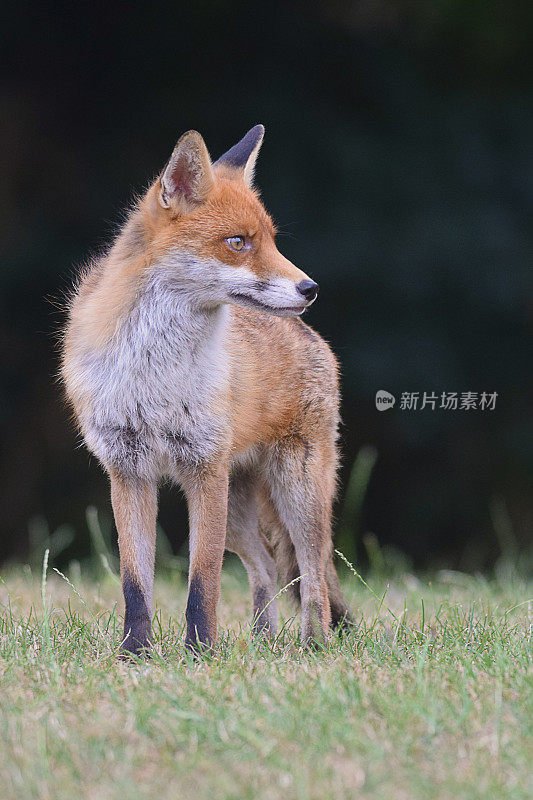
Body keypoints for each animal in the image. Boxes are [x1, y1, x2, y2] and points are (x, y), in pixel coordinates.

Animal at [61, 123, 350, 648]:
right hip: (238, 512)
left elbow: (203, 582)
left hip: (297, 494)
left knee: (313, 573)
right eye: (238, 242)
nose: (311, 288)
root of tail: (311, 337)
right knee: (265, 567)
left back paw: (313, 645)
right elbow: (136, 584)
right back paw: (261, 644)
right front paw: (135, 652)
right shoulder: (128, 471)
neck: (154, 372)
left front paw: (199, 652)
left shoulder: (205, 468)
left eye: (272, 241)